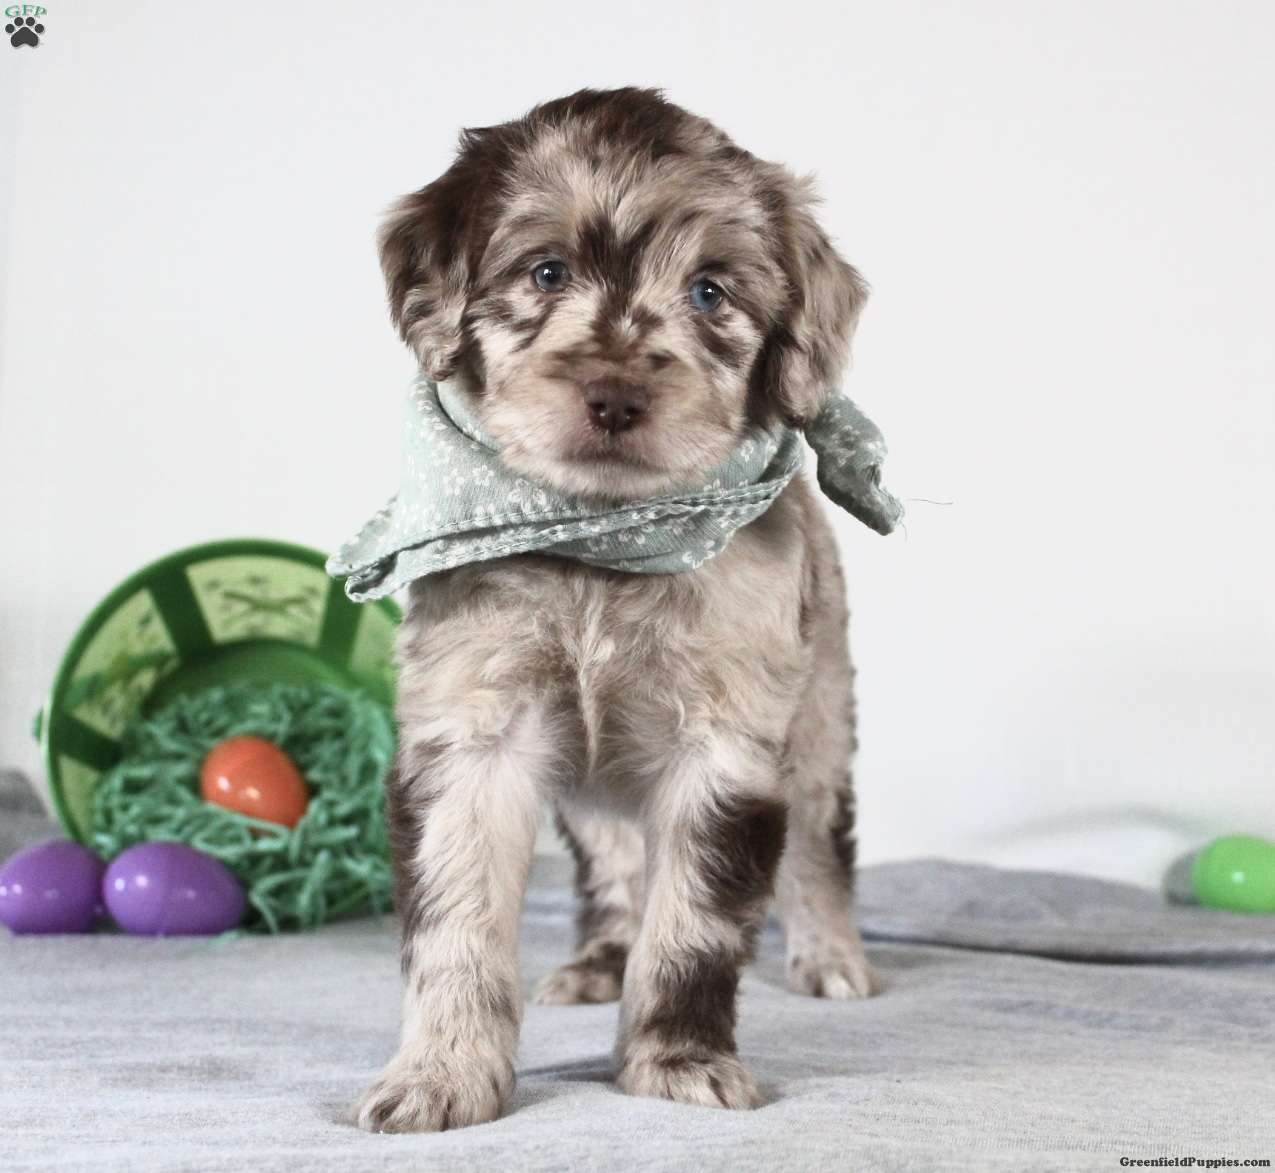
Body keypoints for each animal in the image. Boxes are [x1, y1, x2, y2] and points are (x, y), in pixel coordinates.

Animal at [357, 87, 877, 1132]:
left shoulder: (725, 745)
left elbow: (693, 929)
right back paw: (599, 960)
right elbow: (456, 924)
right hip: (594, 798)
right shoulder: (471, 731)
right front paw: (440, 1071)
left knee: (818, 844)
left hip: (819, 714)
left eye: (711, 292)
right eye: (545, 271)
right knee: (616, 867)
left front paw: (676, 1060)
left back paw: (830, 953)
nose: (615, 394)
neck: (603, 545)